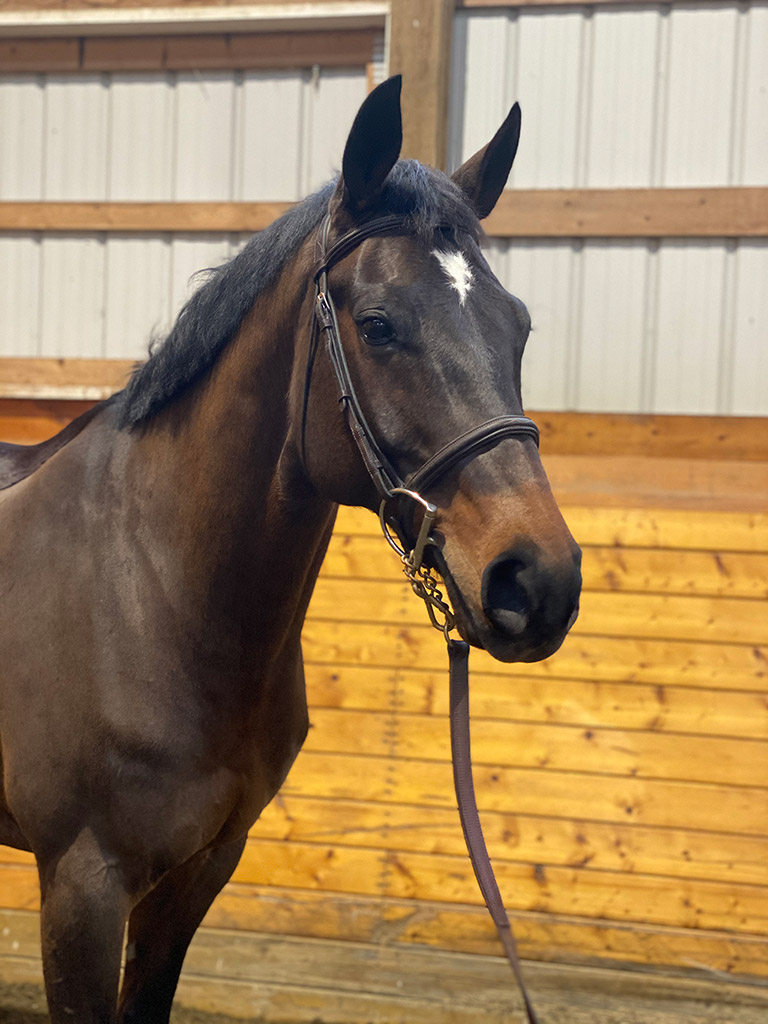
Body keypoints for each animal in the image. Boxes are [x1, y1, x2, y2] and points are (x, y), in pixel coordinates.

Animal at [0, 76, 581, 1023]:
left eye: (519, 326)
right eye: (377, 325)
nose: (538, 580)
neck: (144, 597)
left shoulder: (199, 874)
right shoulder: (80, 887)